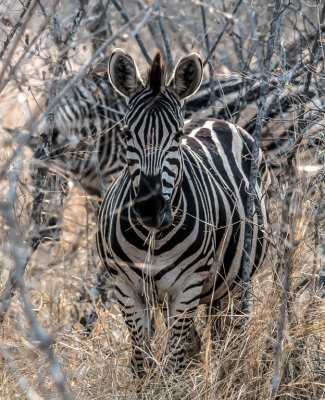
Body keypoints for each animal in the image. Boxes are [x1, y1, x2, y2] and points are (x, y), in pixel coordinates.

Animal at [96, 48, 268, 376]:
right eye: (126, 133)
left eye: (176, 136)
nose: (150, 209)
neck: (152, 238)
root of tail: (216, 120)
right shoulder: (126, 289)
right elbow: (142, 361)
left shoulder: (187, 287)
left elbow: (173, 362)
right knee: (200, 342)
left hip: (233, 284)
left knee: (229, 337)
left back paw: (227, 376)